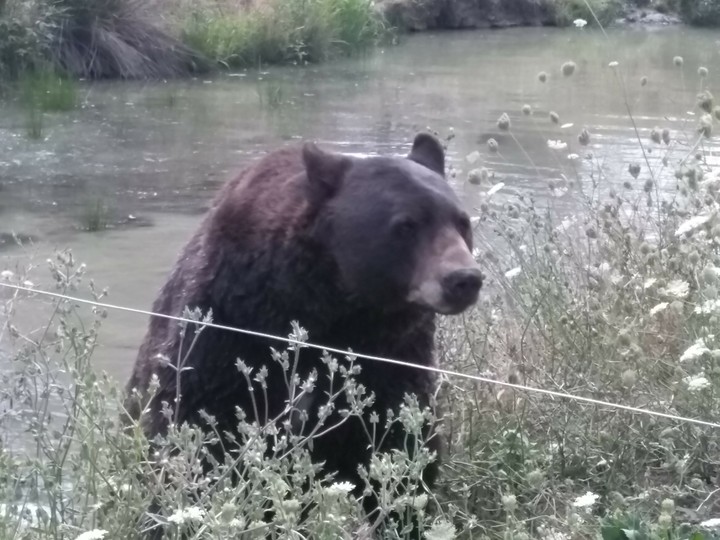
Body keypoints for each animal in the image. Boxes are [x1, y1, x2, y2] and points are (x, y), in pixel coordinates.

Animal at [124, 132, 483, 538]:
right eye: (406, 225)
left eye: (461, 222)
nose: (464, 279)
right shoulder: (226, 330)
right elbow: (200, 426)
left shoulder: (392, 356)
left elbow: (400, 441)